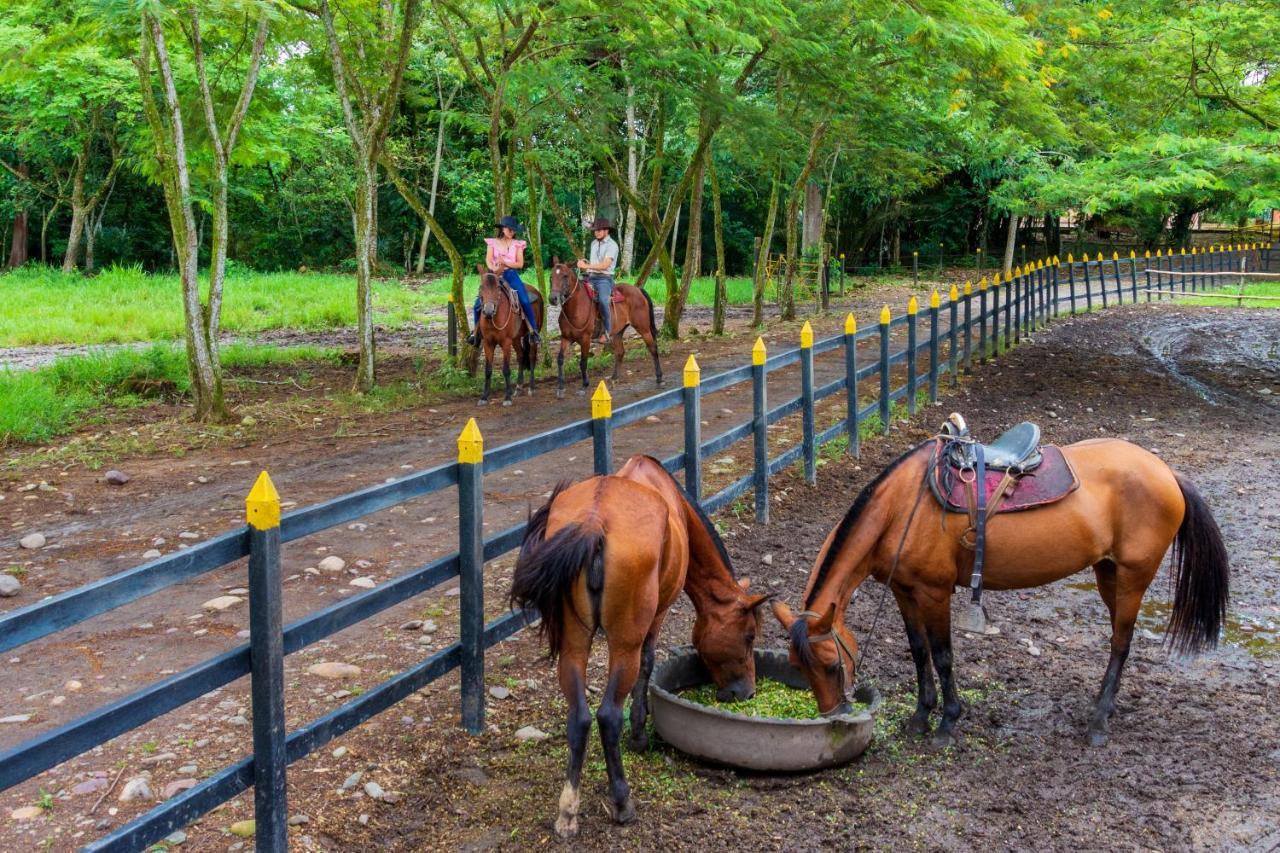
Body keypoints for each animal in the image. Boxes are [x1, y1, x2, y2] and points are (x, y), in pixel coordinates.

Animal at [478, 266, 542, 404]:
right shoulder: (487, 343)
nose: (488, 311)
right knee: (521, 356)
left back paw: (531, 388)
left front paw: (507, 397)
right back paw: (518, 388)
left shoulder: (505, 342)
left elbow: (506, 370)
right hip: (516, 338)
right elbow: (488, 370)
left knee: (531, 356)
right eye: (481, 287)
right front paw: (484, 396)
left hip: (532, 335)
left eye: (497, 287)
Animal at [512, 455, 768, 835]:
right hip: (624, 646)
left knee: (579, 718)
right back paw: (621, 801)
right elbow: (648, 664)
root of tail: (594, 522)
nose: (747, 691)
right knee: (607, 715)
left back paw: (568, 811)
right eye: (749, 635)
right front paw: (639, 734)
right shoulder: (656, 617)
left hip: (574, 645)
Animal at [547, 256, 665, 394]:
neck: (576, 307)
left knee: (653, 348)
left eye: (565, 276)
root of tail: (638, 290)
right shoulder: (566, 338)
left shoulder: (585, 339)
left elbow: (583, 361)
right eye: (551, 276)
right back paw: (614, 378)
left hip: (643, 328)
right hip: (618, 331)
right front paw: (561, 388)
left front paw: (585, 385)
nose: (553, 298)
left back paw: (659, 378)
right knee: (620, 352)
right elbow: (560, 359)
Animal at [768, 425, 1228, 742]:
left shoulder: (934, 592)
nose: (833, 715)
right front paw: (920, 716)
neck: (900, 508)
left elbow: (943, 655)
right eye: (797, 668)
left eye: (831, 665)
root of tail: (1166, 471)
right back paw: (1104, 707)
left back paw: (1098, 721)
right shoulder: (903, 591)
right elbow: (918, 652)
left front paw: (947, 722)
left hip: (1134, 575)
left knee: (1121, 641)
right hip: (1108, 571)